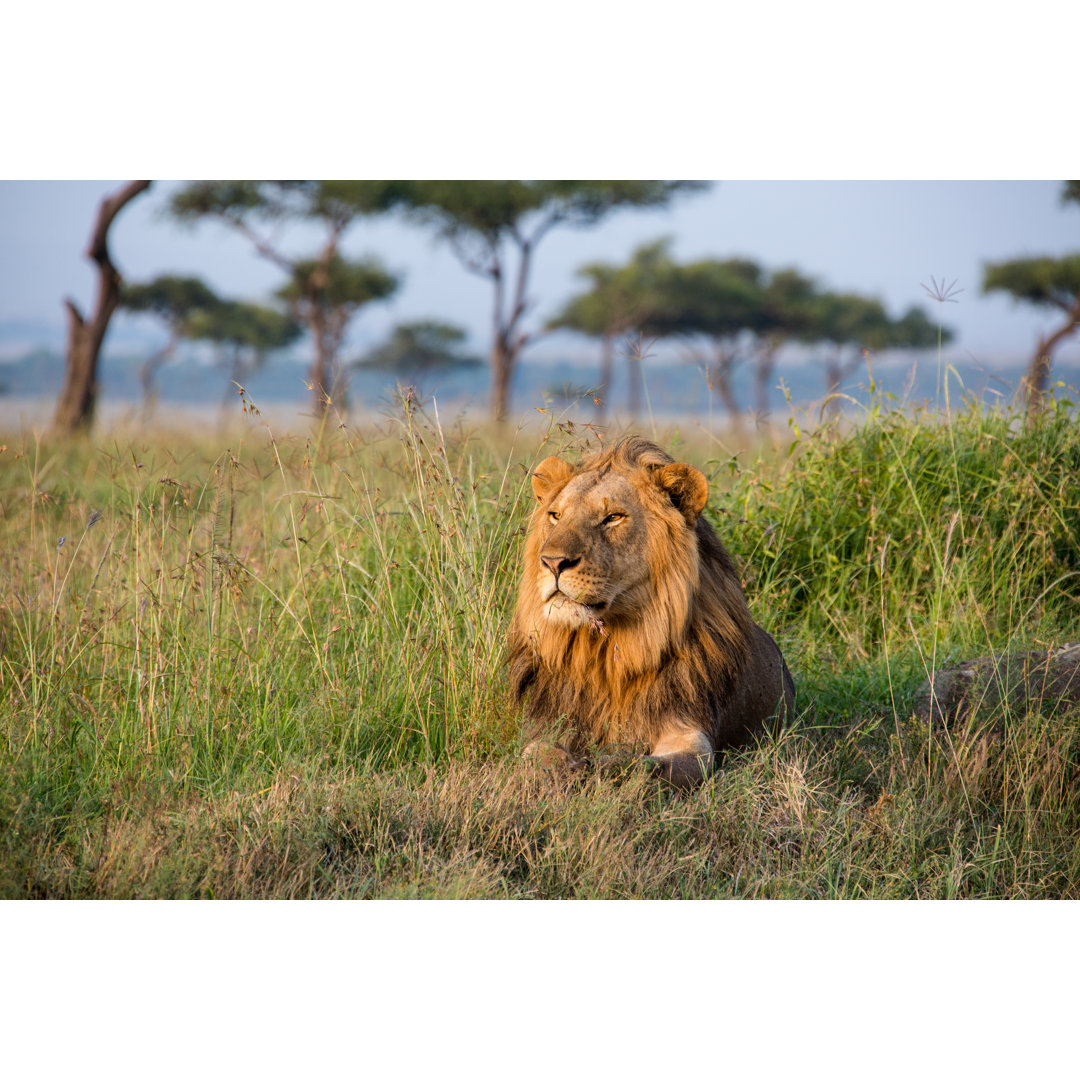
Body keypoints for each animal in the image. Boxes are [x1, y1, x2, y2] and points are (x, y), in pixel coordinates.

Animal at [505, 434, 794, 790]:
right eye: (556, 515)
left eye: (613, 517)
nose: (552, 562)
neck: (607, 653)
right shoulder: (548, 726)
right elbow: (535, 757)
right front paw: (564, 770)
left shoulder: (690, 731)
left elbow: (650, 767)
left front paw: (606, 764)